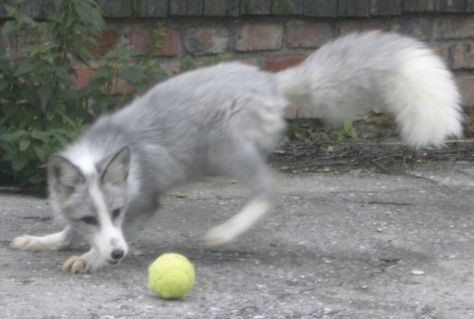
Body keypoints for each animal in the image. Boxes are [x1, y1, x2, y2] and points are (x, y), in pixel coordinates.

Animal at [11, 31, 462, 272]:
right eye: (90, 215)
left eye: (118, 211)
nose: (121, 256)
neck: (108, 147)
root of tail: (270, 81)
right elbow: (68, 231)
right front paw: (49, 241)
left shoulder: (145, 202)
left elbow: (106, 238)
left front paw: (93, 257)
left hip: (226, 148)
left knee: (270, 189)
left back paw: (225, 233)